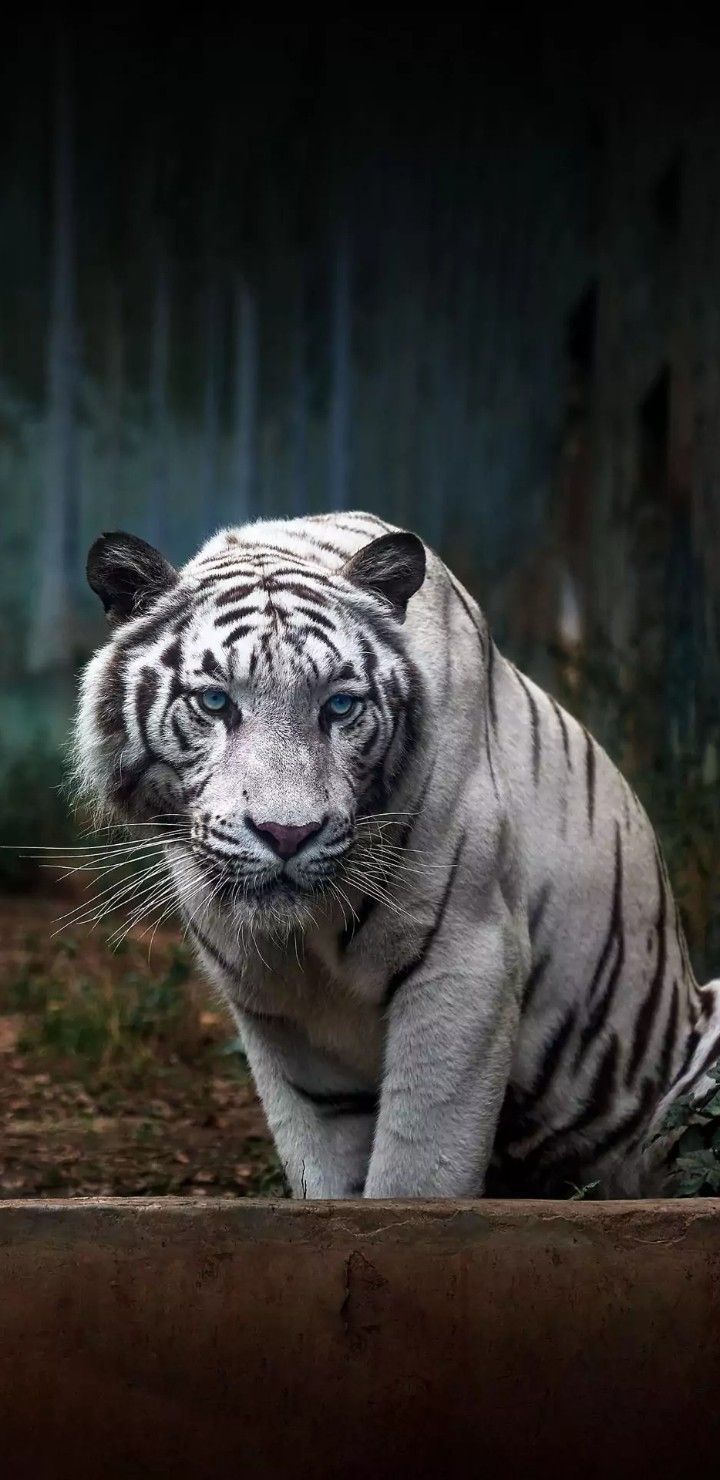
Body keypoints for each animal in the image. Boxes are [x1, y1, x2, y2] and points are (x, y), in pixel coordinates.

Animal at [71, 515, 720, 1195]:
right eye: (216, 702)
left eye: (339, 706)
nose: (286, 834)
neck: (306, 940)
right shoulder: (277, 1007)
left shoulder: (467, 960)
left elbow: (417, 1171)